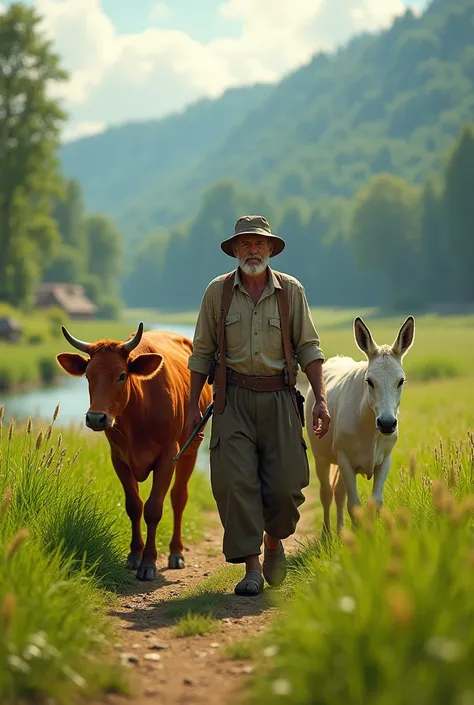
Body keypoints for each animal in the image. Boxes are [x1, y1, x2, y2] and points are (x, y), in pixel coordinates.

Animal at [55, 322, 211, 580]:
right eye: (88, 376)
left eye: (121, 375)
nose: (96, 418)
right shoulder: (119, 458)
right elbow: (134, 506)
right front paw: (134, 556)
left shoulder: (168, 457)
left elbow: (154, 508)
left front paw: (148, 562)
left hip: (191, 451)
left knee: (179, 498)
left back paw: (176, 552)